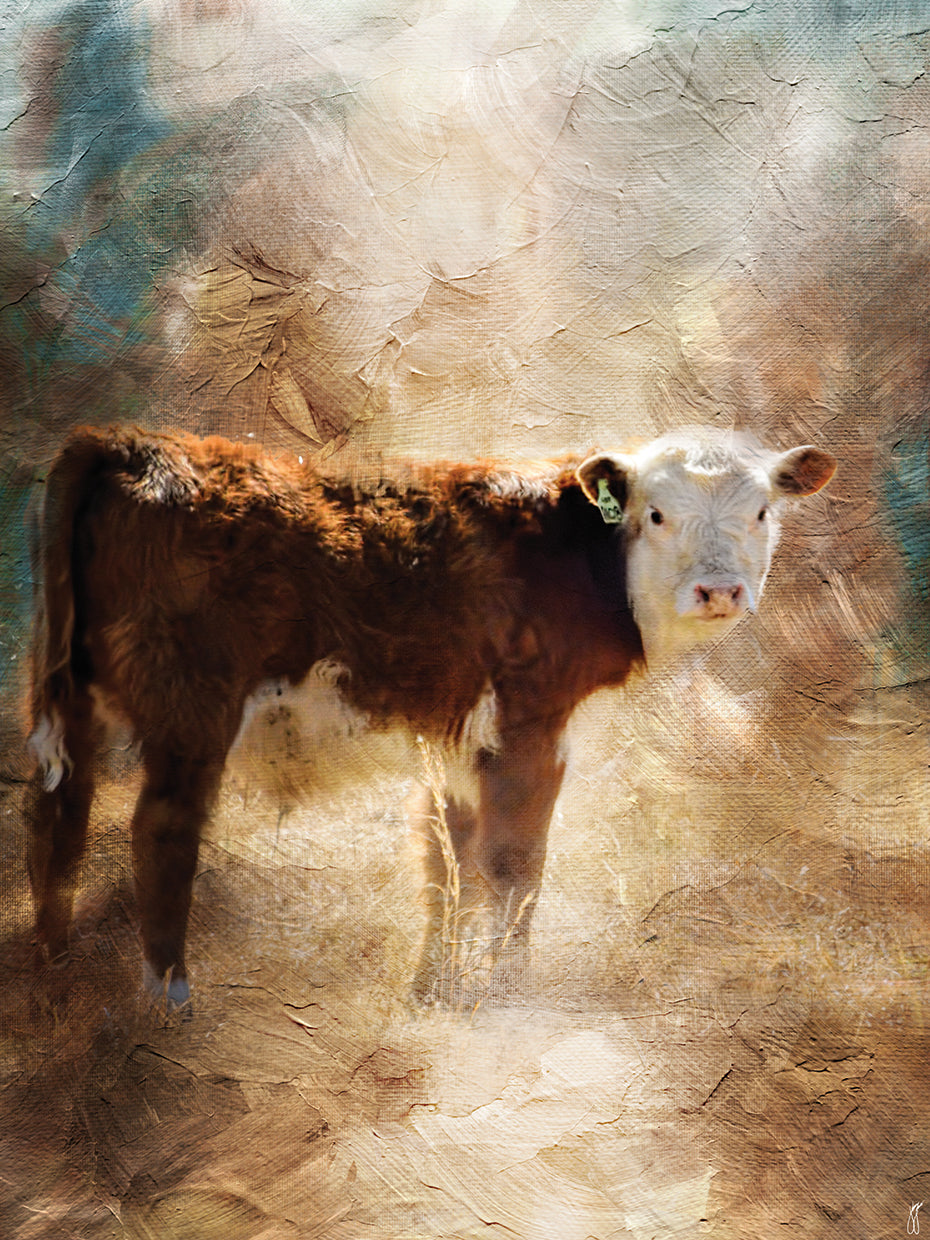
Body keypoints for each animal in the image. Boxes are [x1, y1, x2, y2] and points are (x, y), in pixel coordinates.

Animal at [24, 424, 836, 1012]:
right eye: (658, 514)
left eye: (761, 511)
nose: (719, 590)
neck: (589, 557)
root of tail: (130, 442)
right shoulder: (531, 723)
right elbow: (514, 864)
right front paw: (505, 996)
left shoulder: (453, 736)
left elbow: (450, 863)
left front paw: (435, 991)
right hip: (191, 709)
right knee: (160, 832)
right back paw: (169, 1001)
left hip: (73, 702)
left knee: (57, 826)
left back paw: (55, 978)